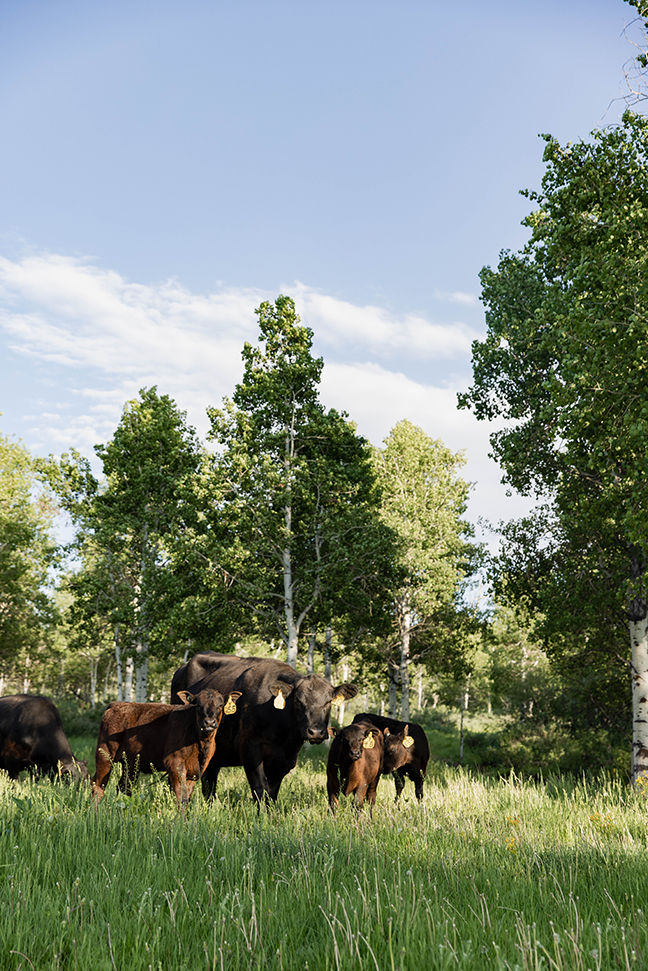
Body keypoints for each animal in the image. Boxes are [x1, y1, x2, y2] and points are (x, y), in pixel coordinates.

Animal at [92, 687, 240, 807]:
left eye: (220, 705)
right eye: (198, 705)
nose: (209, 722)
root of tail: (115, 704)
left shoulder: (195, 771)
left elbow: (187, 797)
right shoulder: (174, 763)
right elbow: (181, 796)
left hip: (131, 764)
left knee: (123, 787)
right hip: (105, 755)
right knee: (98, 785)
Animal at [171, 651, 358, 806]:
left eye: (328, 702)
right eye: (298, 701)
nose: (316, 732)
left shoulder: (286, 758)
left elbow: (272, 793)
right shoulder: (249, 748)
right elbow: (260, 789)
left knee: (209, 782)